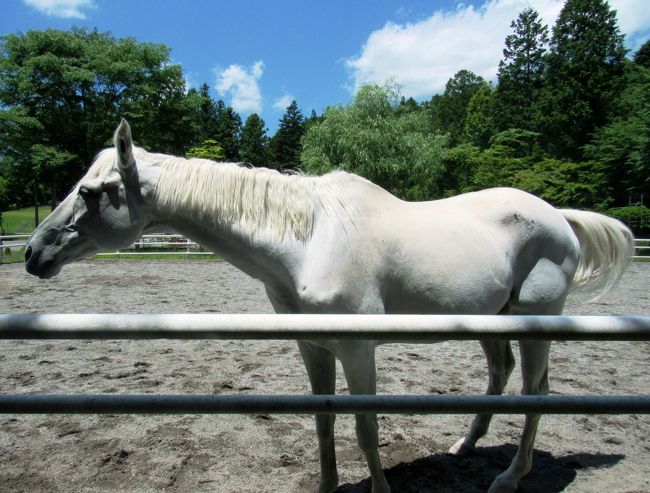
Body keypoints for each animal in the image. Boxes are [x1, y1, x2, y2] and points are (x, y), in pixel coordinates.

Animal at [26, 120, 632, 492]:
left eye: (91, 192)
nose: (33, 253)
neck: (310, 240)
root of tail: (557, 216)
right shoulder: (312, 348)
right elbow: (323, 421)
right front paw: (326, 483)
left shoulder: (358, 350)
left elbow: (365, 427)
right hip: (492, 320)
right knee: (502, 375)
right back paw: (464, 445)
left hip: (536, 323)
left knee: (535, 392)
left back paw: (508, 476)